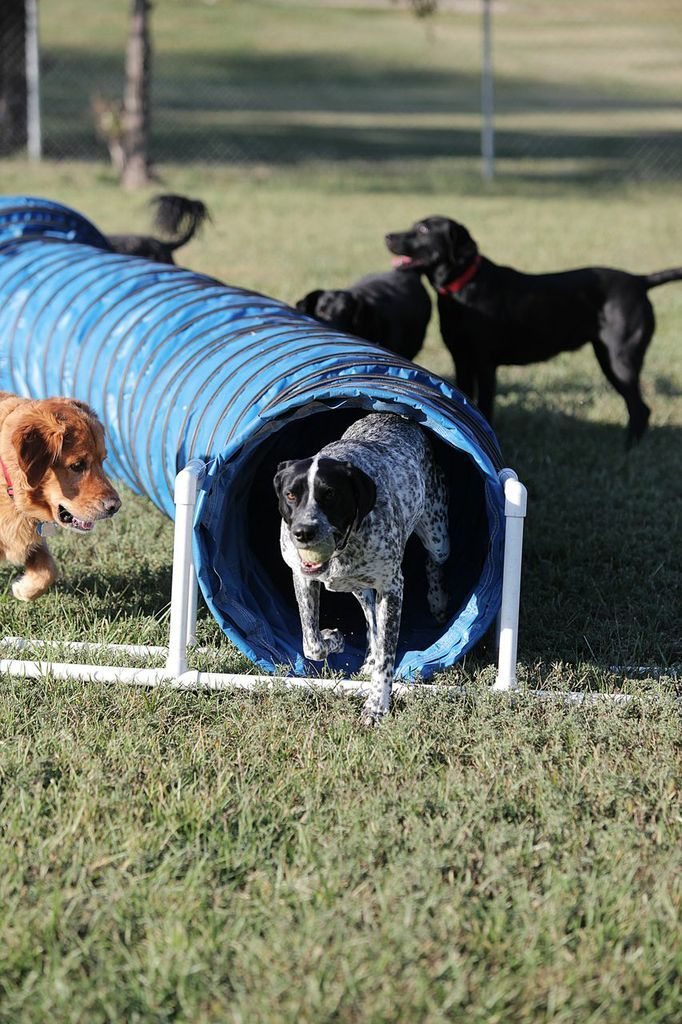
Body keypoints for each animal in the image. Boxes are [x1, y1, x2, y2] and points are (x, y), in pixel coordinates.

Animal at [274, 413, 450, 725]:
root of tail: (394, 415)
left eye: (330, 495)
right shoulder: (303, 577)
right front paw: (333, 638)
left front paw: (376, 706)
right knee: (371, 623)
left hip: (437, 535)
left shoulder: (392, 587)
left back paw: (437, 601)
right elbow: (311, 642)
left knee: (434, 562)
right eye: (290, 495)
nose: (303, 533)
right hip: (360, 589)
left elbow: (387, 659)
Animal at [386, 215, 682, 445]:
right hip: (608, 359)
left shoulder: (485, 363)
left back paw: (628, 451)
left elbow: (485, 406)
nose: (388, 236)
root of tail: (639, 280)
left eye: (424, 229)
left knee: (640, 409)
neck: (464, 287)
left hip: (621, 360)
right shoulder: (462, 359)